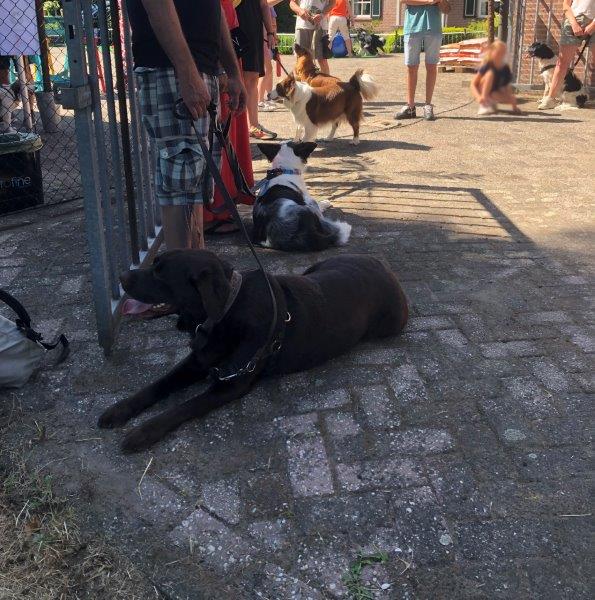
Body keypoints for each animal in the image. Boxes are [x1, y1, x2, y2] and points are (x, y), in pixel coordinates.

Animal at [99, 248, 410, 450]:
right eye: (154, 264)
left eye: (161, 276)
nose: (122, 277)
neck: (225, 312)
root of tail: (383, 266)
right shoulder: (197, 361)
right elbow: (158, 384)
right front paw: (119, 410)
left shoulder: (231, 383)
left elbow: (183, 407)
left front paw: (143, 432)